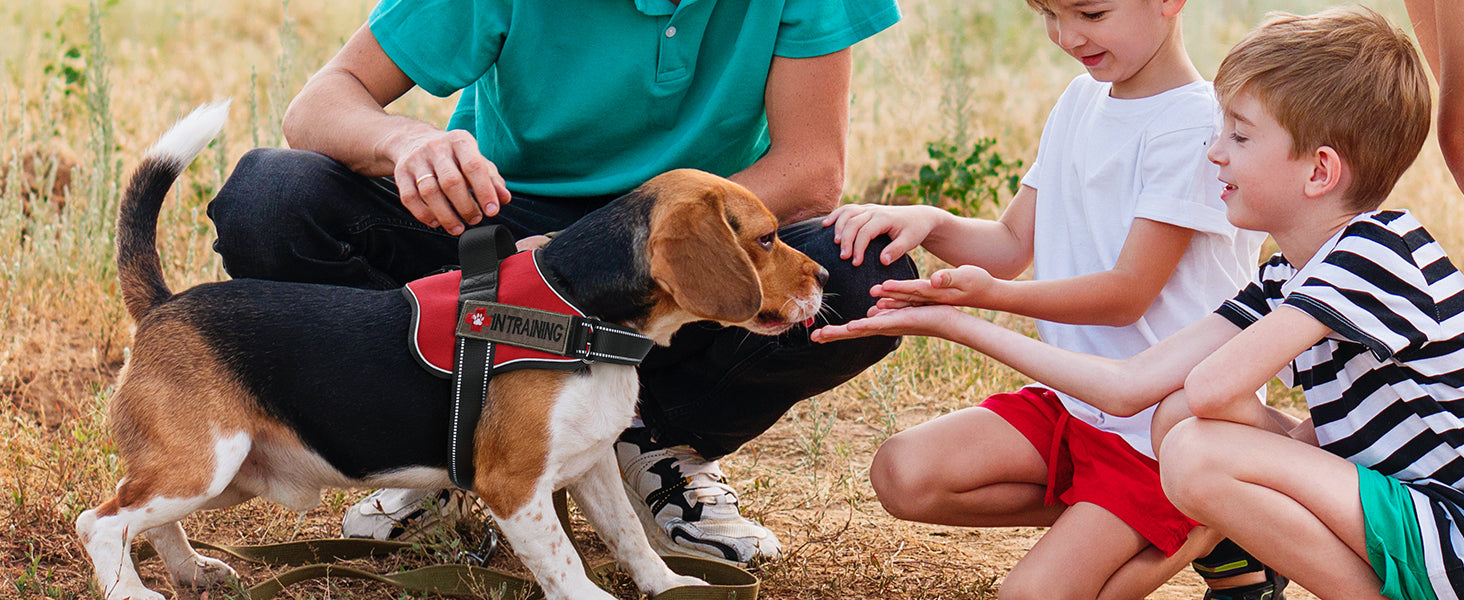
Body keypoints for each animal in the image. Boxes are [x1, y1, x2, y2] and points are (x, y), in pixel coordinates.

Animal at [80, 103, 831, 600]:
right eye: (765, 239)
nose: (825, 277)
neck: (585, 314)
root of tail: (164, 305)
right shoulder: (515, 489)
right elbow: (569, 567)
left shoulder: (589, 466)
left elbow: (631, 539)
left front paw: (673, 584)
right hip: (204, 464)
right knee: (101, 522)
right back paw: (134, 593)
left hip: (226, 475)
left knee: (149, 524)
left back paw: (191, 570)